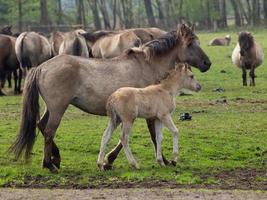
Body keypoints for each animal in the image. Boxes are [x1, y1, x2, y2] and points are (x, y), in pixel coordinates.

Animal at [9, 24, 211, 173]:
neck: (147, 66)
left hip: (51, 108)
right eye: (191, 44)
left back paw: (54, 159)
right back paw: (49, 164)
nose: (207, 63)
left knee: (41, 126)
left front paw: (107, 161)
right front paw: (165, 160)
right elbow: (149, 137)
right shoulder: (148, 115)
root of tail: (41, 67)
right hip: (58, 108)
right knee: (49, 131)